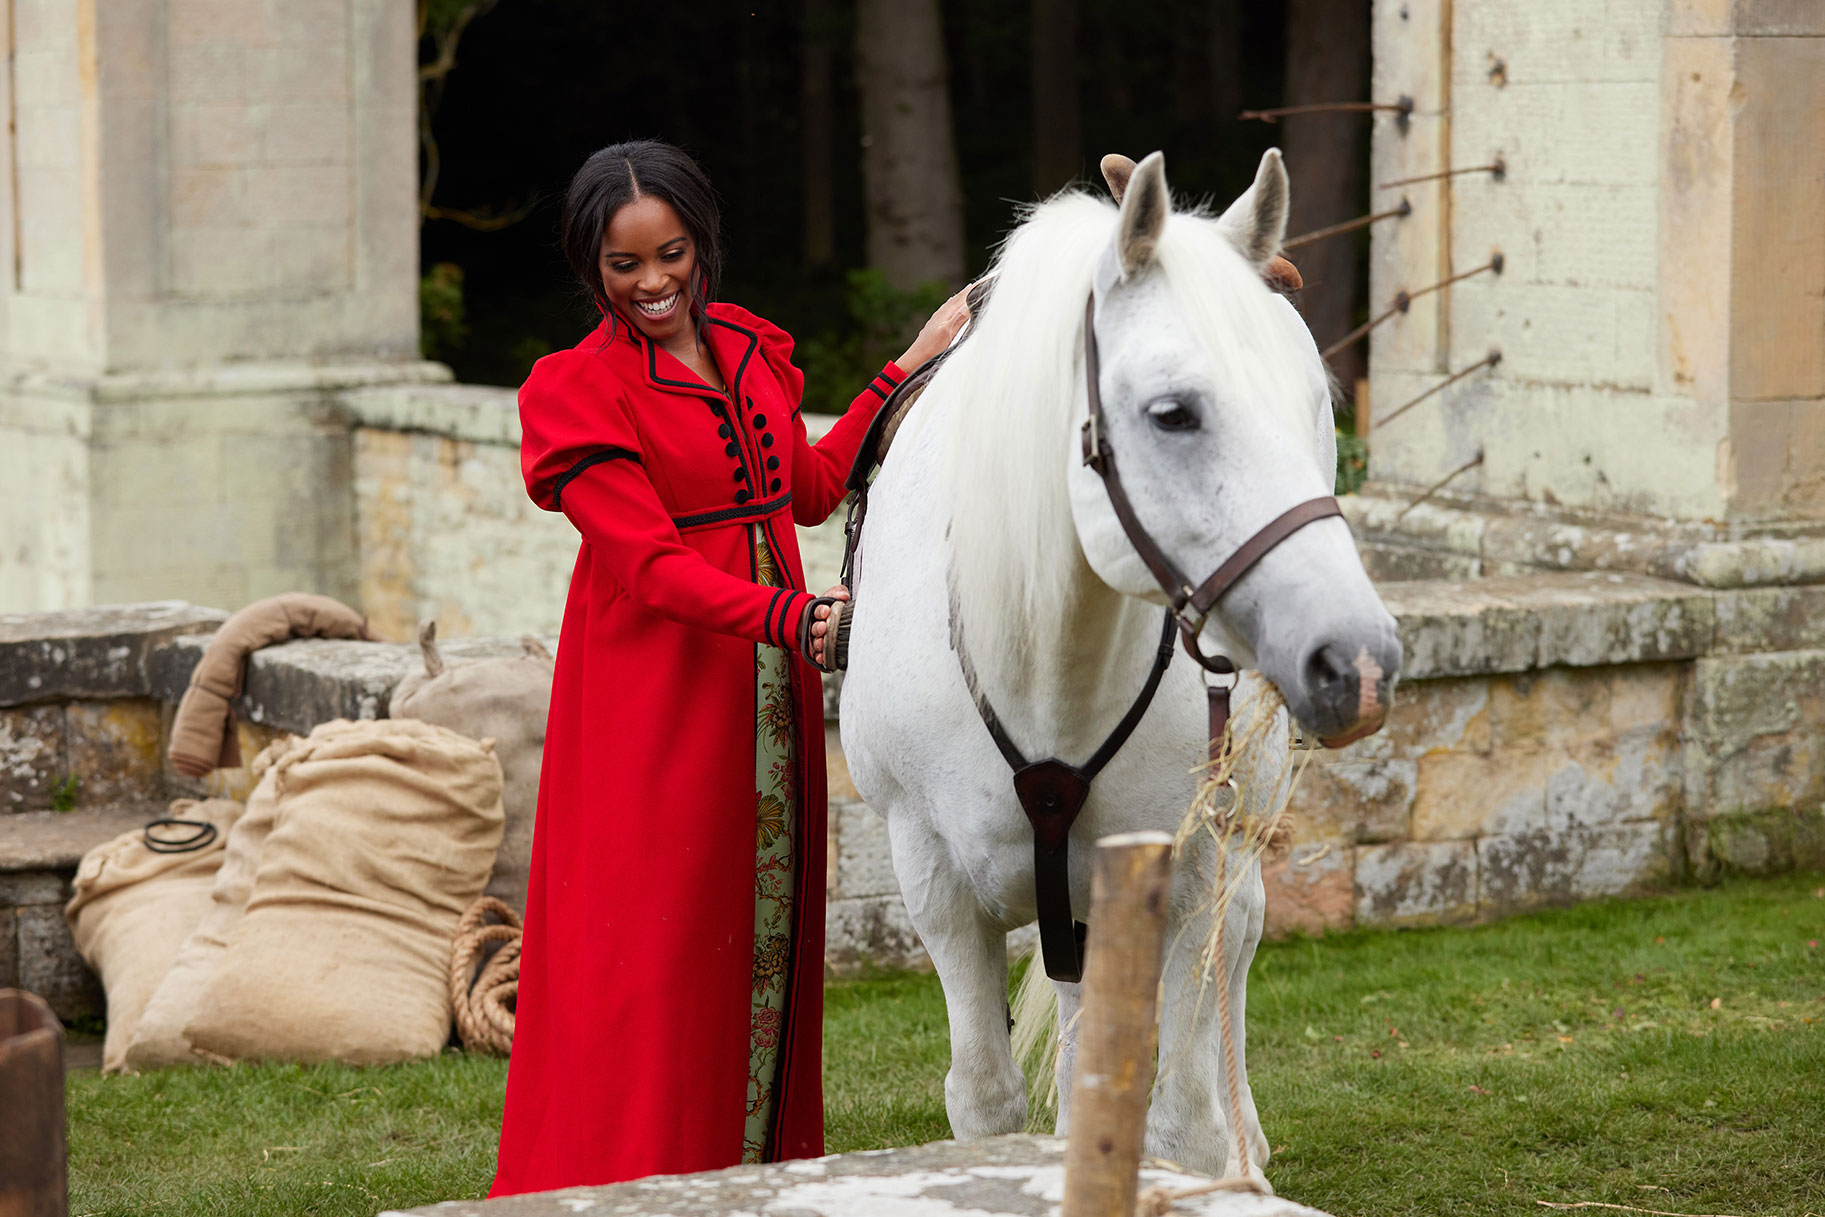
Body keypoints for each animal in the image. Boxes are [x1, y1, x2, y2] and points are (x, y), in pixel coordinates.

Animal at [835, 152, 1394, 1182]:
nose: (1358, 658)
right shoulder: (932, 876)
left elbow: (1184, 1126)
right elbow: (986, 1102)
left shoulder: (1189, 861)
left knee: (1239, 940)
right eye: (1173, 413)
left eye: (1313, 405)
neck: (1046, 664)